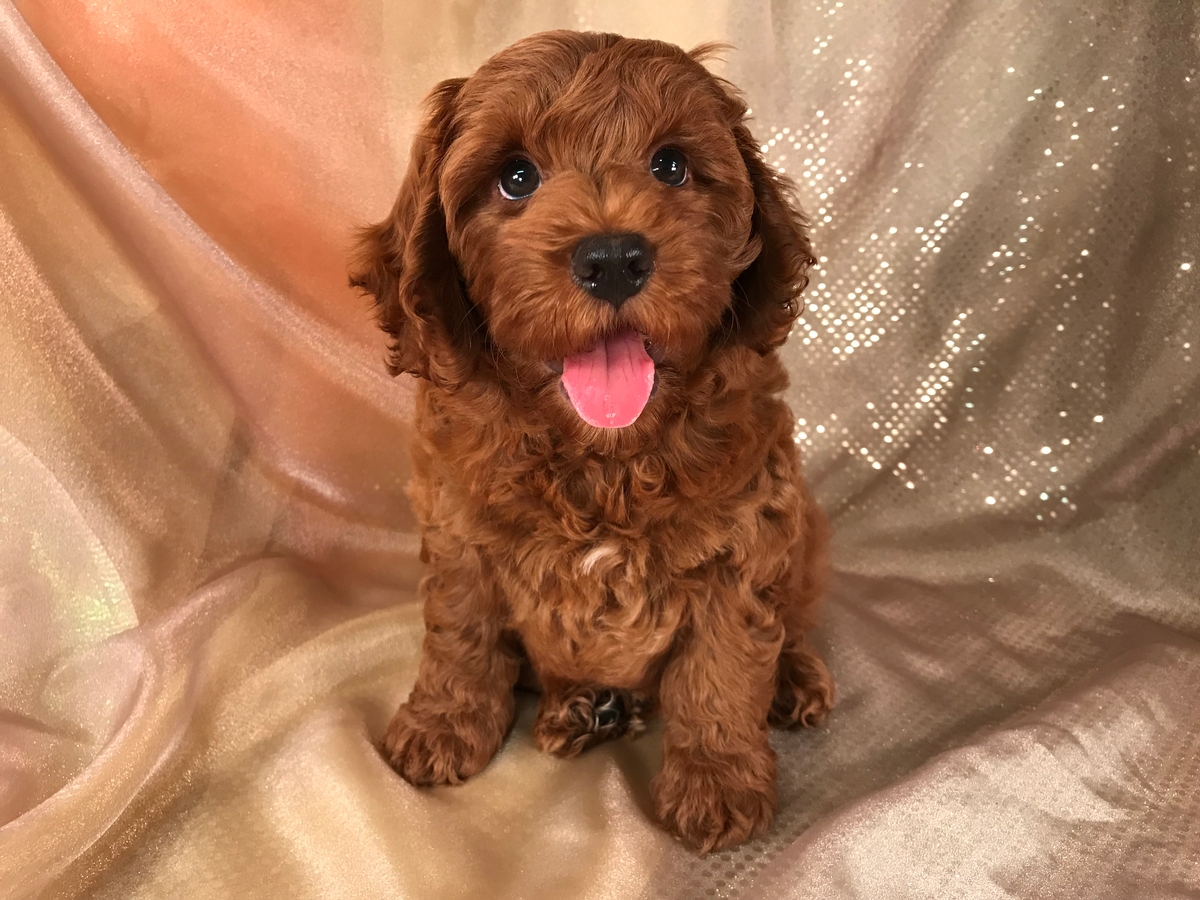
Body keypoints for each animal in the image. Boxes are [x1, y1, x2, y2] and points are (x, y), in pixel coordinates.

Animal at [350, 31, 830, 854]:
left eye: (670, 165)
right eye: (516, 177)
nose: (611, 260)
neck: (602, 459)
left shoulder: (748, 538)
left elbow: (723, 666)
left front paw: (716, 784)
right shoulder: (457, 532)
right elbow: (460, 636)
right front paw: (442, 726)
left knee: (790, 620)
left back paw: (791, 679)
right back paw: (588, 708)